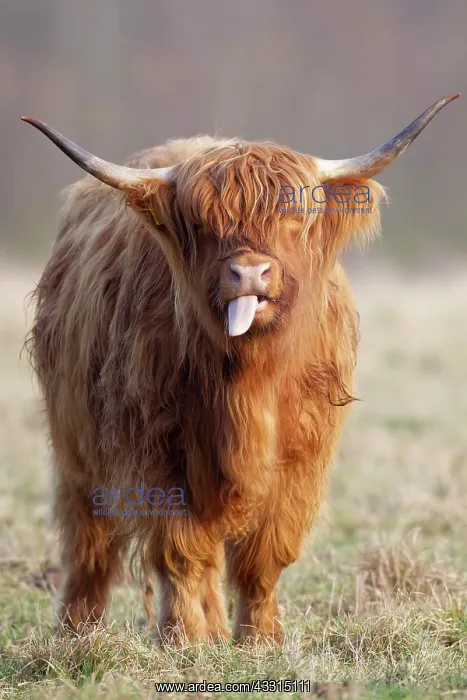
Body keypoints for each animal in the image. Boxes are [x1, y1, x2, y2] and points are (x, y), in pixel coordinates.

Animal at [22, 94, 458, 644]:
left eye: (294, 217)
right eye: (202, 224)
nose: (249, 272)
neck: (249, 386)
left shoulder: (301, 459)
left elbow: (263, 557)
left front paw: (259, 639)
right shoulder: (158, 453)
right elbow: (182, 553)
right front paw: (187, 640)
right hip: (76, 447)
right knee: (90, 545)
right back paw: (78, 630)